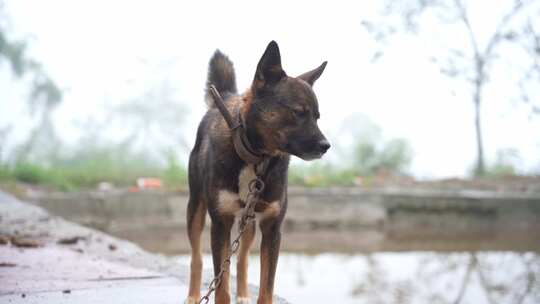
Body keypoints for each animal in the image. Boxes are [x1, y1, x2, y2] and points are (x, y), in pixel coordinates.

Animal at [186, 41, 330, 304]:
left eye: (317, 116)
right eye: (298, 112)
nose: (326, 146)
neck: (255, 158)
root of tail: (227, 96)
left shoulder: (272, 229)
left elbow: (266, 287)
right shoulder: (220, 224)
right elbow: (221, 287)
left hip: (249, 222)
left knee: (242, 259)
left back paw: (243, 294)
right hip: (195, 210)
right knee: (196, 257)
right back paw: (192, 295)